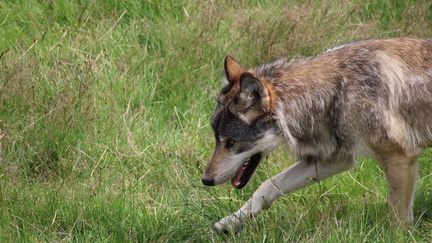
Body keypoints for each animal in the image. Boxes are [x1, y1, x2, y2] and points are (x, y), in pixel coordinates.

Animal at [201, 38, 432, 234]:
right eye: (217, 139)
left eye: (232, 142)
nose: (206, 180)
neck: (337, 92)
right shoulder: (336, 159)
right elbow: (266, 187)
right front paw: (230, 222)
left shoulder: (400, 157)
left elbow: (397, 219)